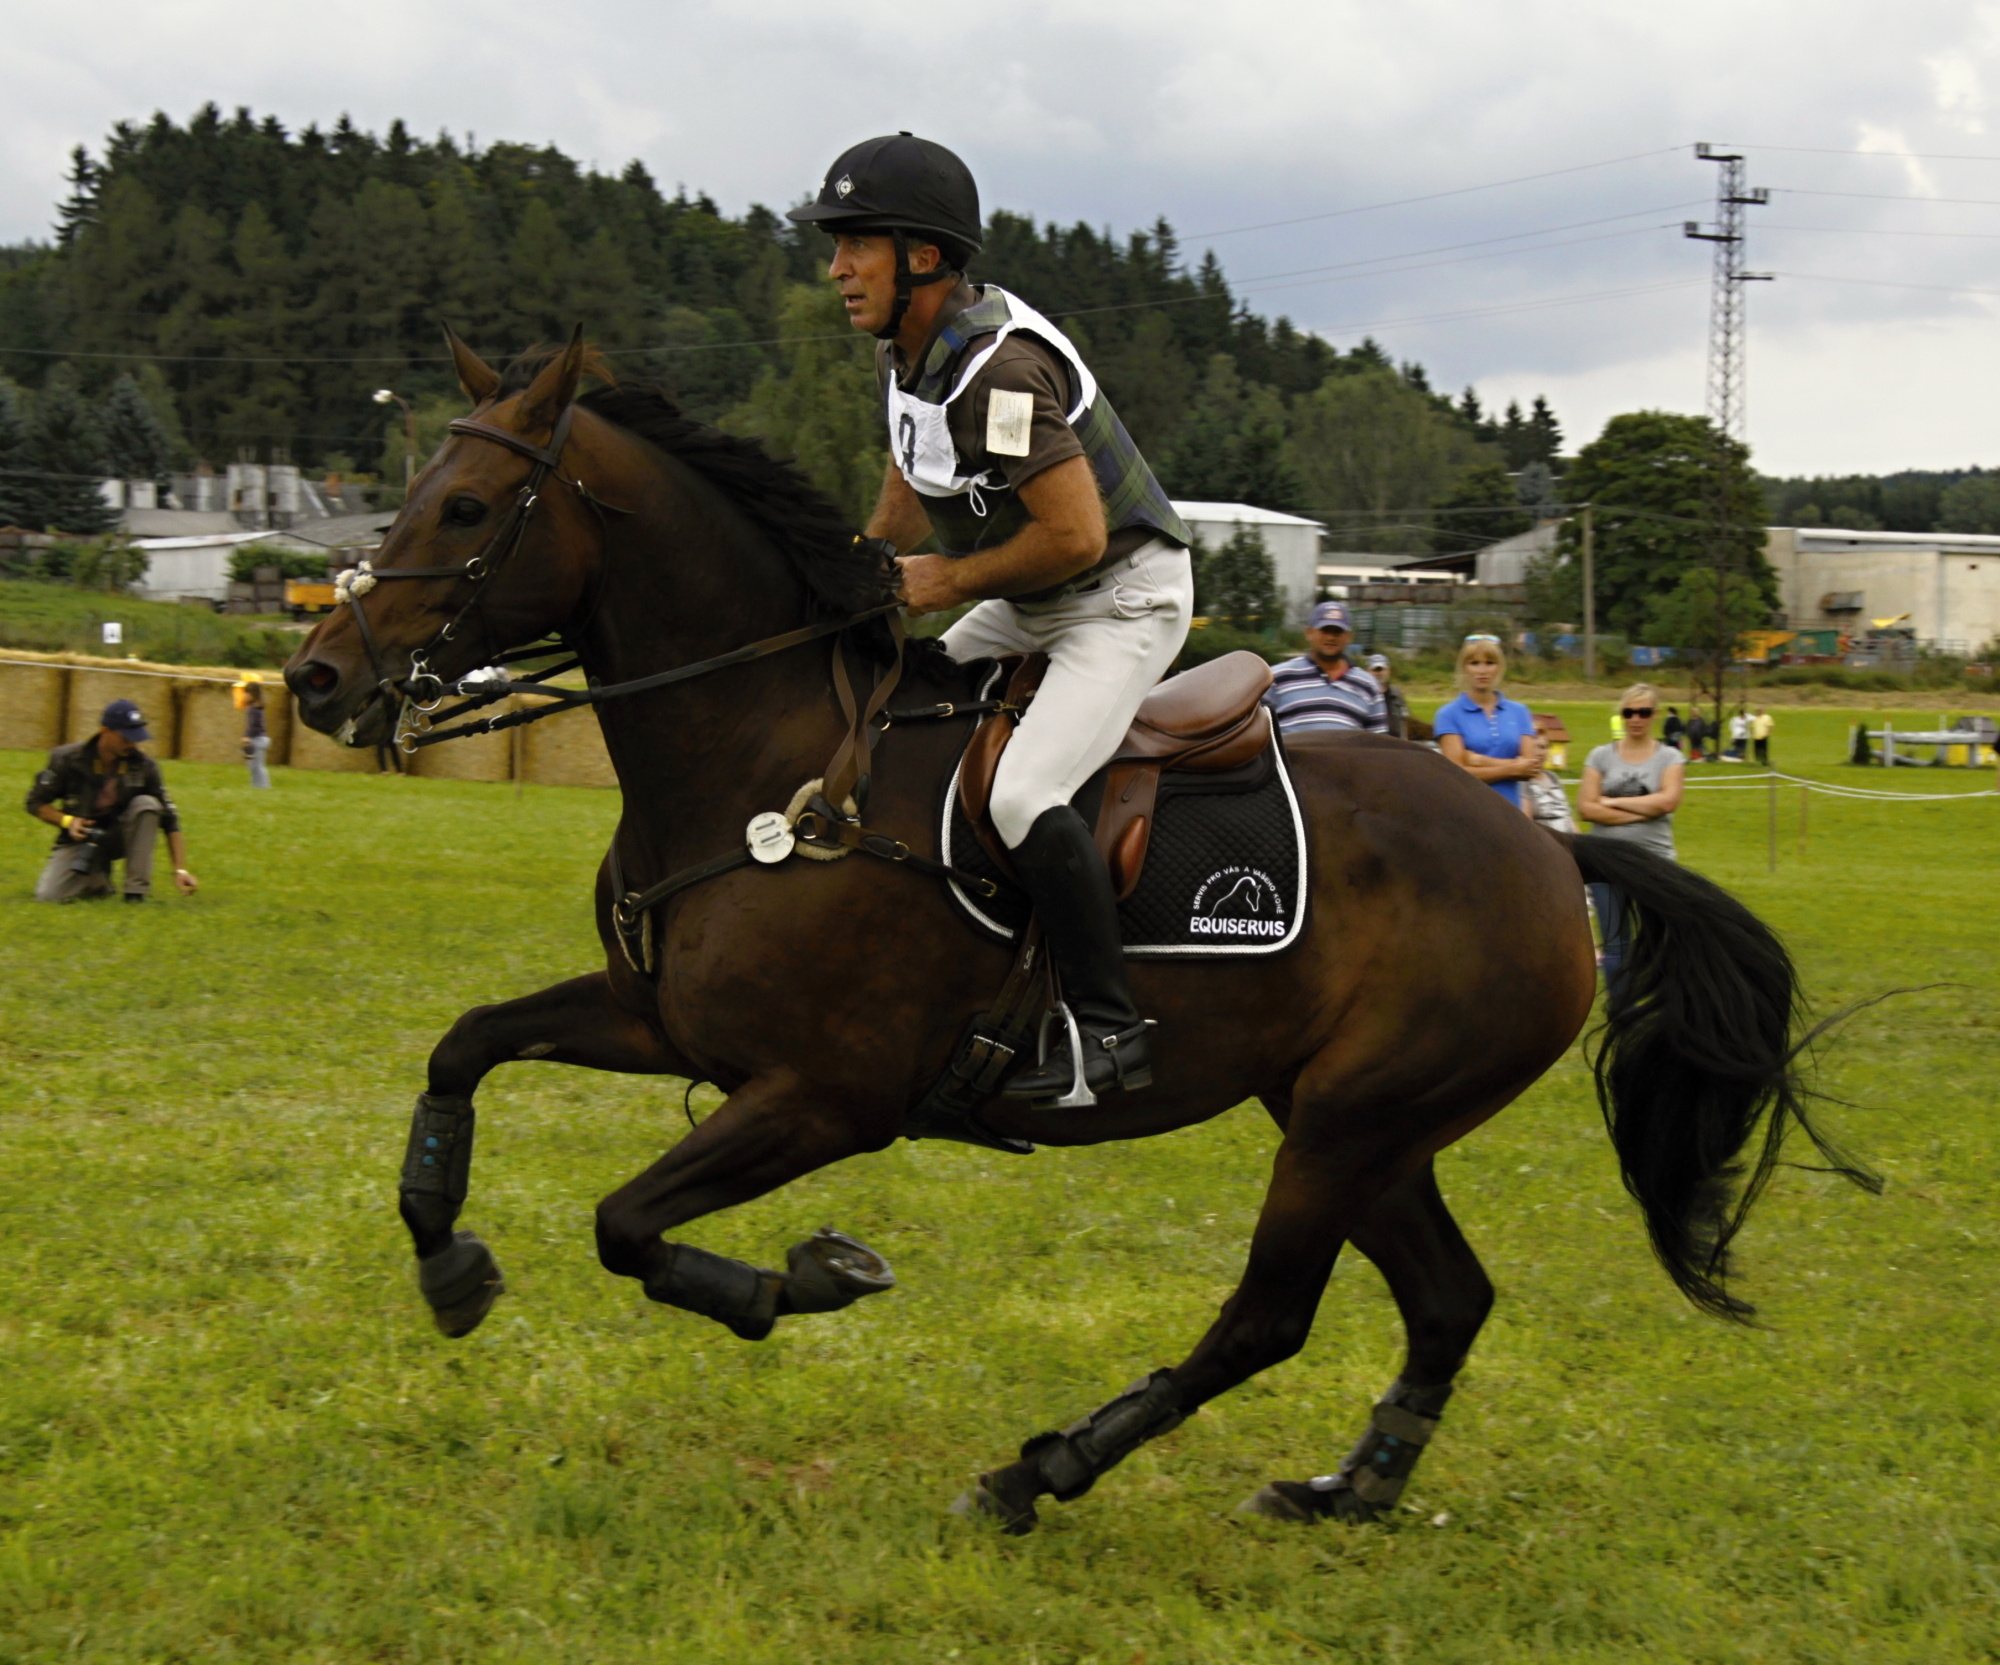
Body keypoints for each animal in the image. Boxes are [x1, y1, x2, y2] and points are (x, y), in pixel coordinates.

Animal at [286, 332, 1872, 1544]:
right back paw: (1345, 1490)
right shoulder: (663, 1022)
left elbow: (627, 1224)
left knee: (1269, 1317)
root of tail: (1547, 849)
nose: (316, 680)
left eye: (468, 508)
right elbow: (465, 1050)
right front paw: (446, 1257)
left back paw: (1038, 1471)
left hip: (1351, 1123)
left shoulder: (825, 1097)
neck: (758, 752)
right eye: (411, 490)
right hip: (1359, 1121)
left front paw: (809, 1278)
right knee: (1445, 1299)